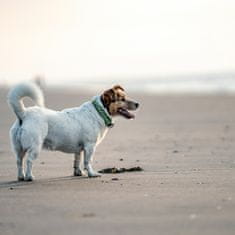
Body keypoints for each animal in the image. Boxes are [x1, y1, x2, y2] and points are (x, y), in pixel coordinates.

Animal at [8, 81, 139, 181]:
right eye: (122, 99)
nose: (138, 104)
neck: (99, 111)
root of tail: (24, 114)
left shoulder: (79, 149)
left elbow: (77, 161)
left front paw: (78, 173)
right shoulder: (90, 146)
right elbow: (88, 161)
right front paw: (91, 174)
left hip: (18, 148)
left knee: (19, 161)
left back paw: (21, 177)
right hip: (35, 146)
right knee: (29, 161)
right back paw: (29, 177)